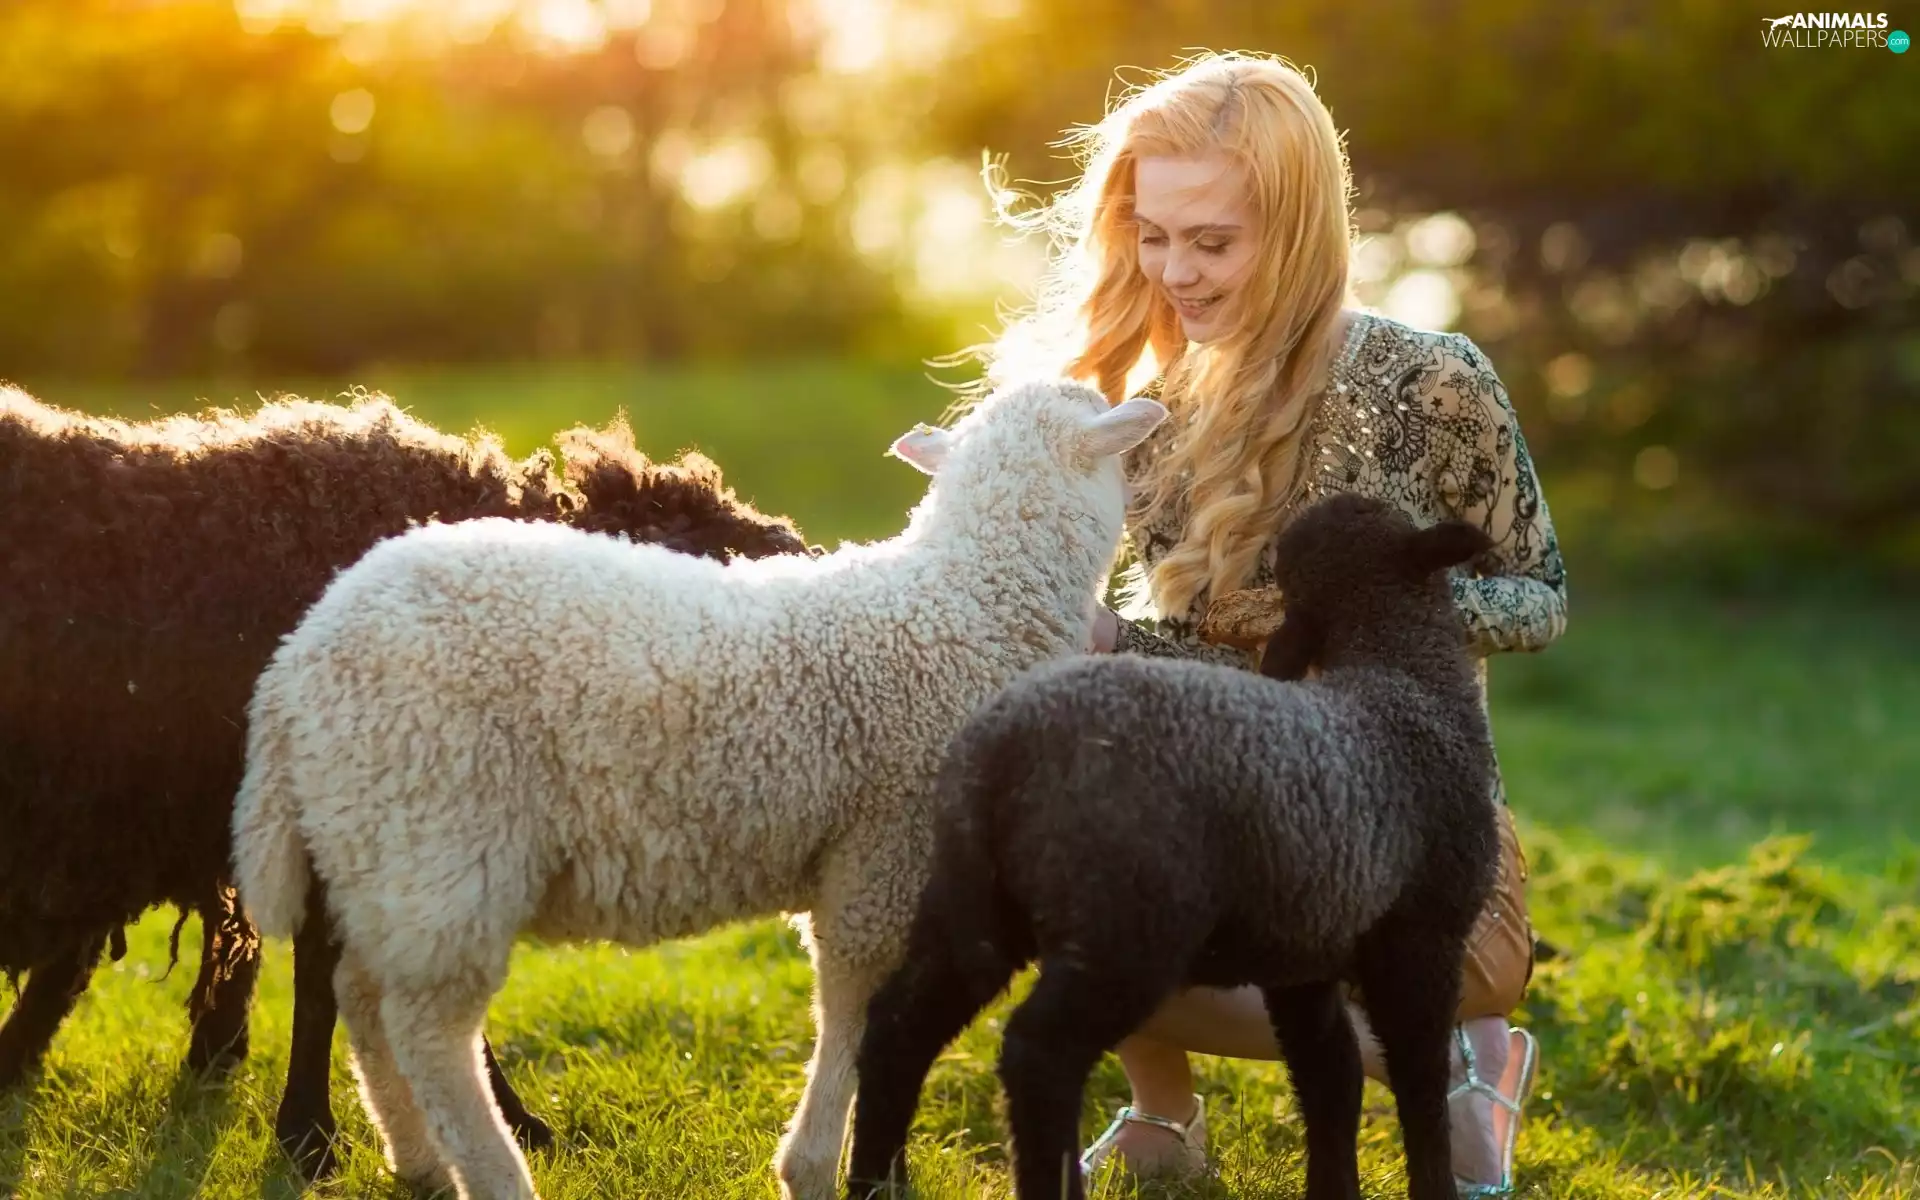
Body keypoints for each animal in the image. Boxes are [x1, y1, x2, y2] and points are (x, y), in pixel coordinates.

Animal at [227, 378, 1169, 1200]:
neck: (968, 603)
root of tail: (294, 669)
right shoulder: (882, 854)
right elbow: (857, 1005)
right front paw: (815, 1168)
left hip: (380, 848)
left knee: (362, 996)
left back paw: (417, 1159)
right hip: (441, 833)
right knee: (427, 1029)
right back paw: (494, 1175)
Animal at [845, 491, 1503, 1200]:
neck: (1405, 674)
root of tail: (1002, 747)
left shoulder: (1304, 952)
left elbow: (1332, 1076)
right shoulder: (1423, 937)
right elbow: (1418, 1081)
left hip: (972, 905)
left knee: (896, 1027)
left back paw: (873, 1182)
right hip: (1126, 926)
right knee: (1037, 1053)